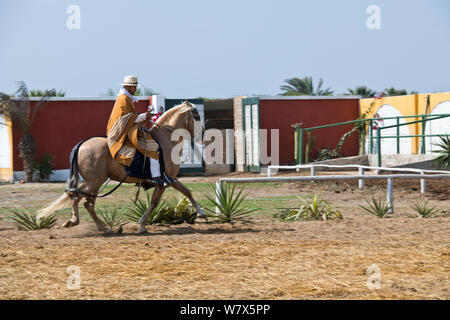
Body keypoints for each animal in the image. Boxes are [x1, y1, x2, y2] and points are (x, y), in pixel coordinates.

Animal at [37, 101, 207, 234]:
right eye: (197, 116)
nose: (203, 136)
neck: (165, 141)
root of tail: (82, 144)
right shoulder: (165, 181)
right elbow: (157, 202)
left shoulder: (169, 179)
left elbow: (185, 191)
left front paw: (201, 212)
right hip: (93, 182)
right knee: (77, 197)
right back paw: (74, 221)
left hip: (95, 183)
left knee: (87, 203)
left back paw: (104, 228)